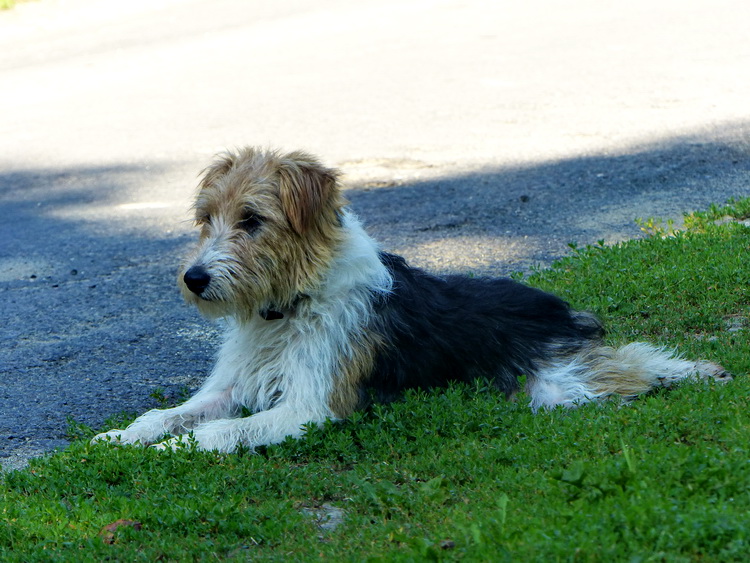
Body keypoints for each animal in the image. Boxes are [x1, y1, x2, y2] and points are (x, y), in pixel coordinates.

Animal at [92, 147, 736, 454]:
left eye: (252, 220)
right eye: (206, 220)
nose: (195, 279)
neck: (289, 305)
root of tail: (558, 306)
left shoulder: (312, 407)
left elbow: (218, 434)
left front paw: (170, 451)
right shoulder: (228, 388)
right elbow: (167, 416)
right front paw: (119, 440)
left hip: (560, 383)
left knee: (636, 364)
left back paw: (697, 370)